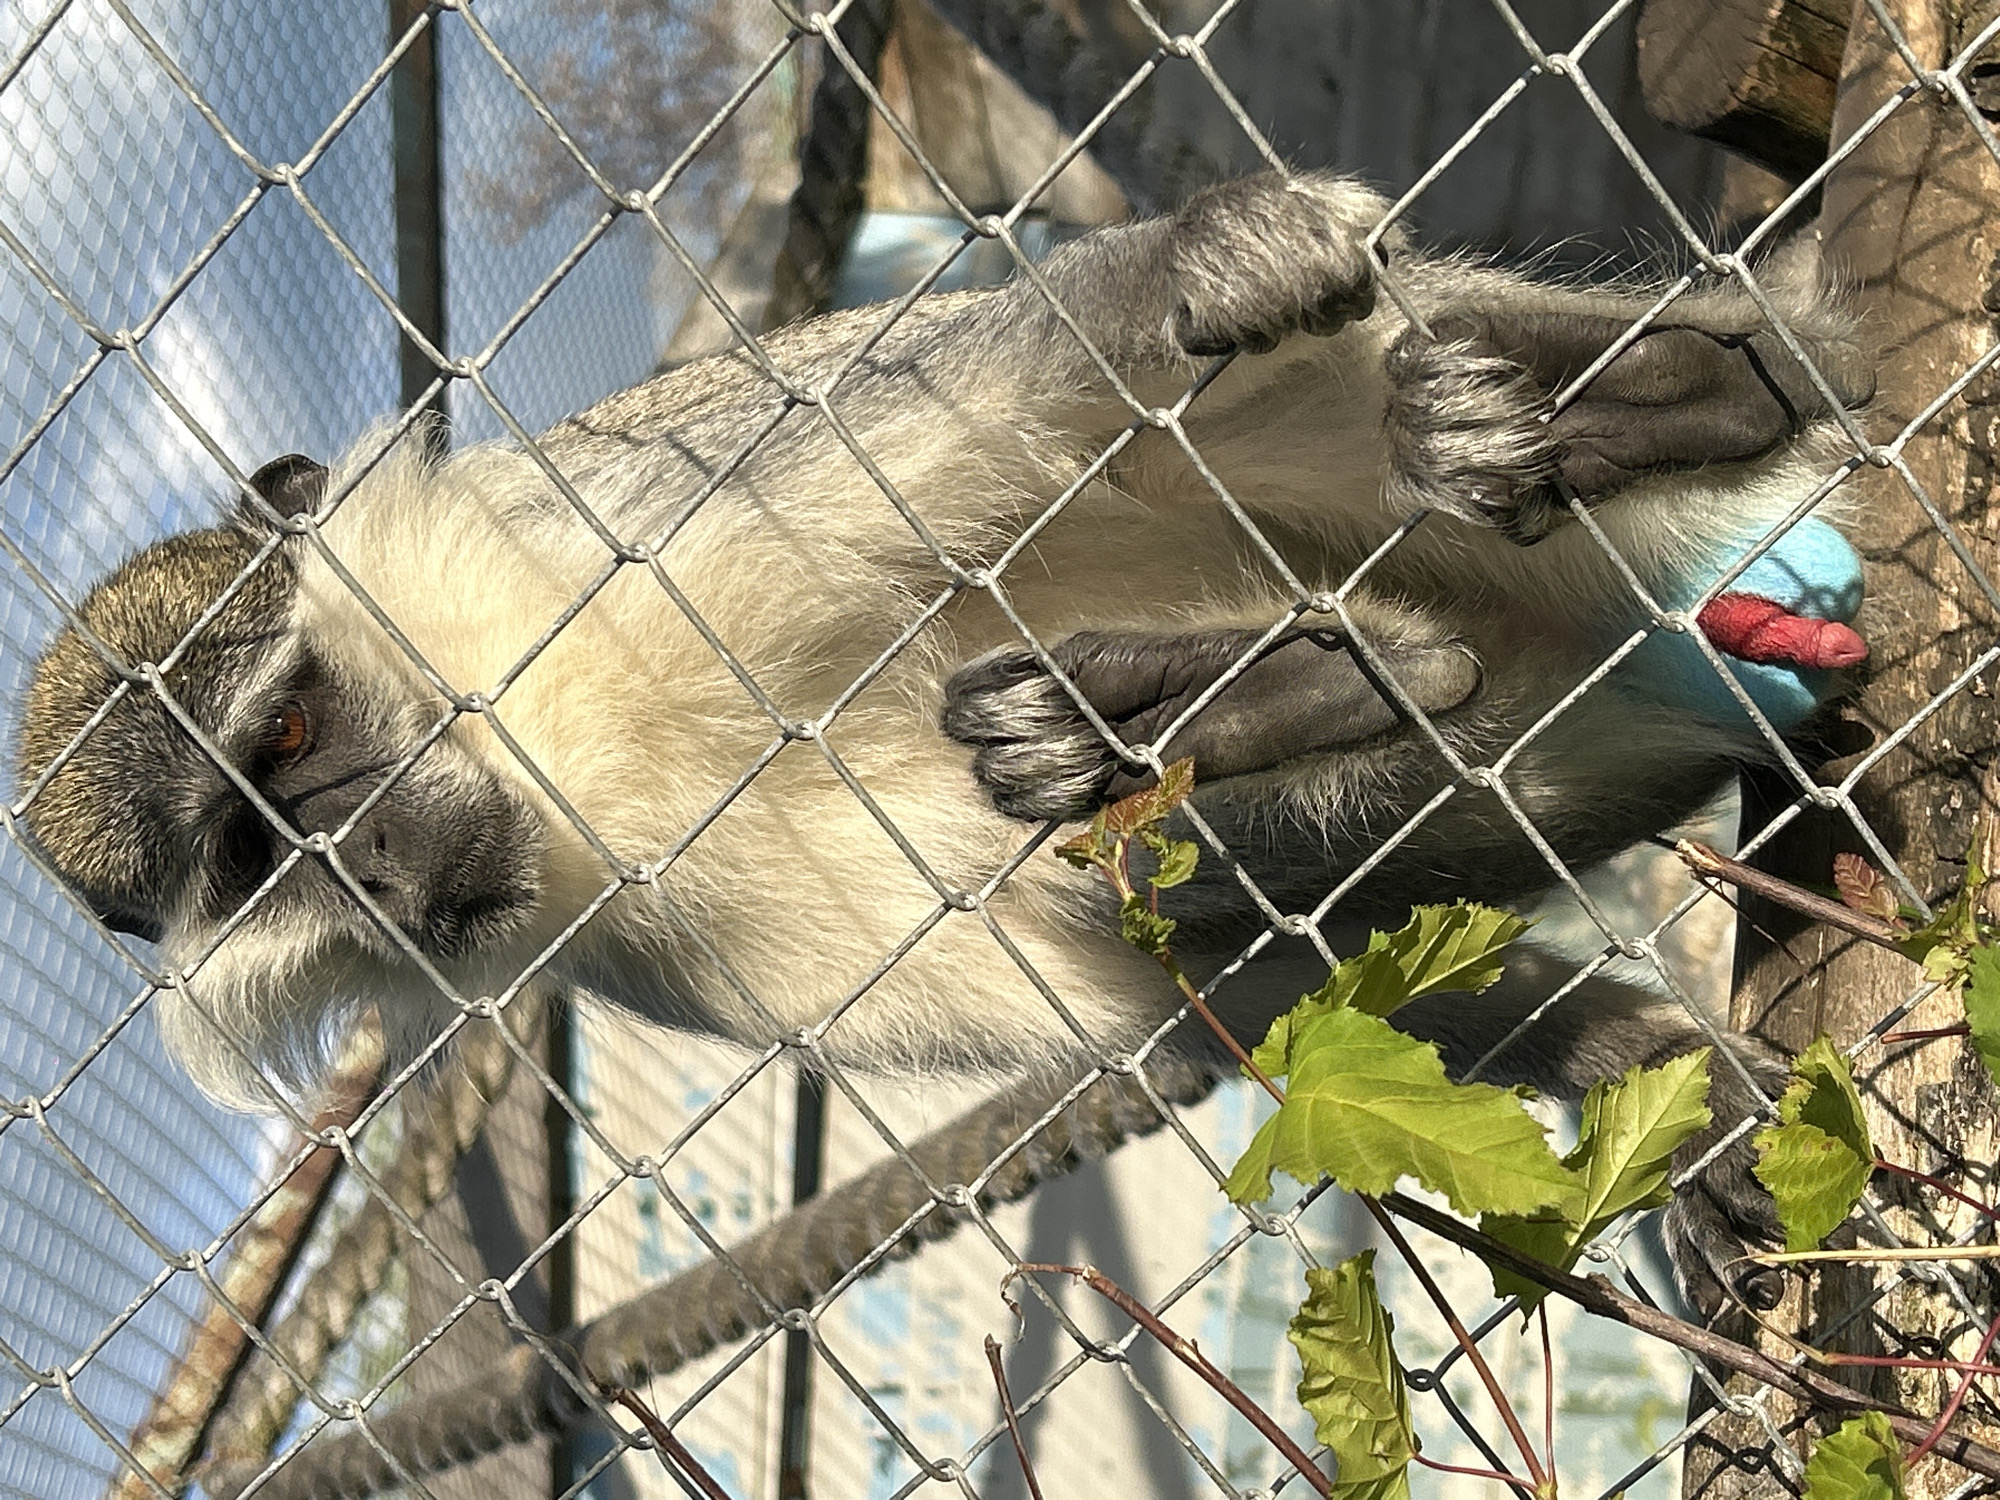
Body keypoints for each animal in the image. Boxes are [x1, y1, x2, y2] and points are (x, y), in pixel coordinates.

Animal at [12, 172, 1873, 1314]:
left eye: (289, 731)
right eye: (253, 858)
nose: (383, 864)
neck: (552, 744)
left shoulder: (625, 520)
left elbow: (1001, 384)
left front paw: (1209, 260)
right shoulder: (607, 942)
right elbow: (1233, 989)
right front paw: (1649, 1069)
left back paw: (1702, 400)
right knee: (1171, 825)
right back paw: (1280, 695)